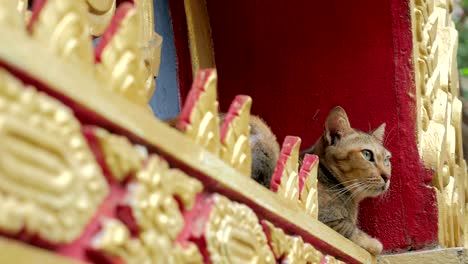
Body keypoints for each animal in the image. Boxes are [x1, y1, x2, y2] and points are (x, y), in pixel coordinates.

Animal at [300, 105, 392, 256]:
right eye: (367, 154)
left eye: (386, 160)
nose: (387, 176)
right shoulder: (324, 219)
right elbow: (348, 228)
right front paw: (373, 243)